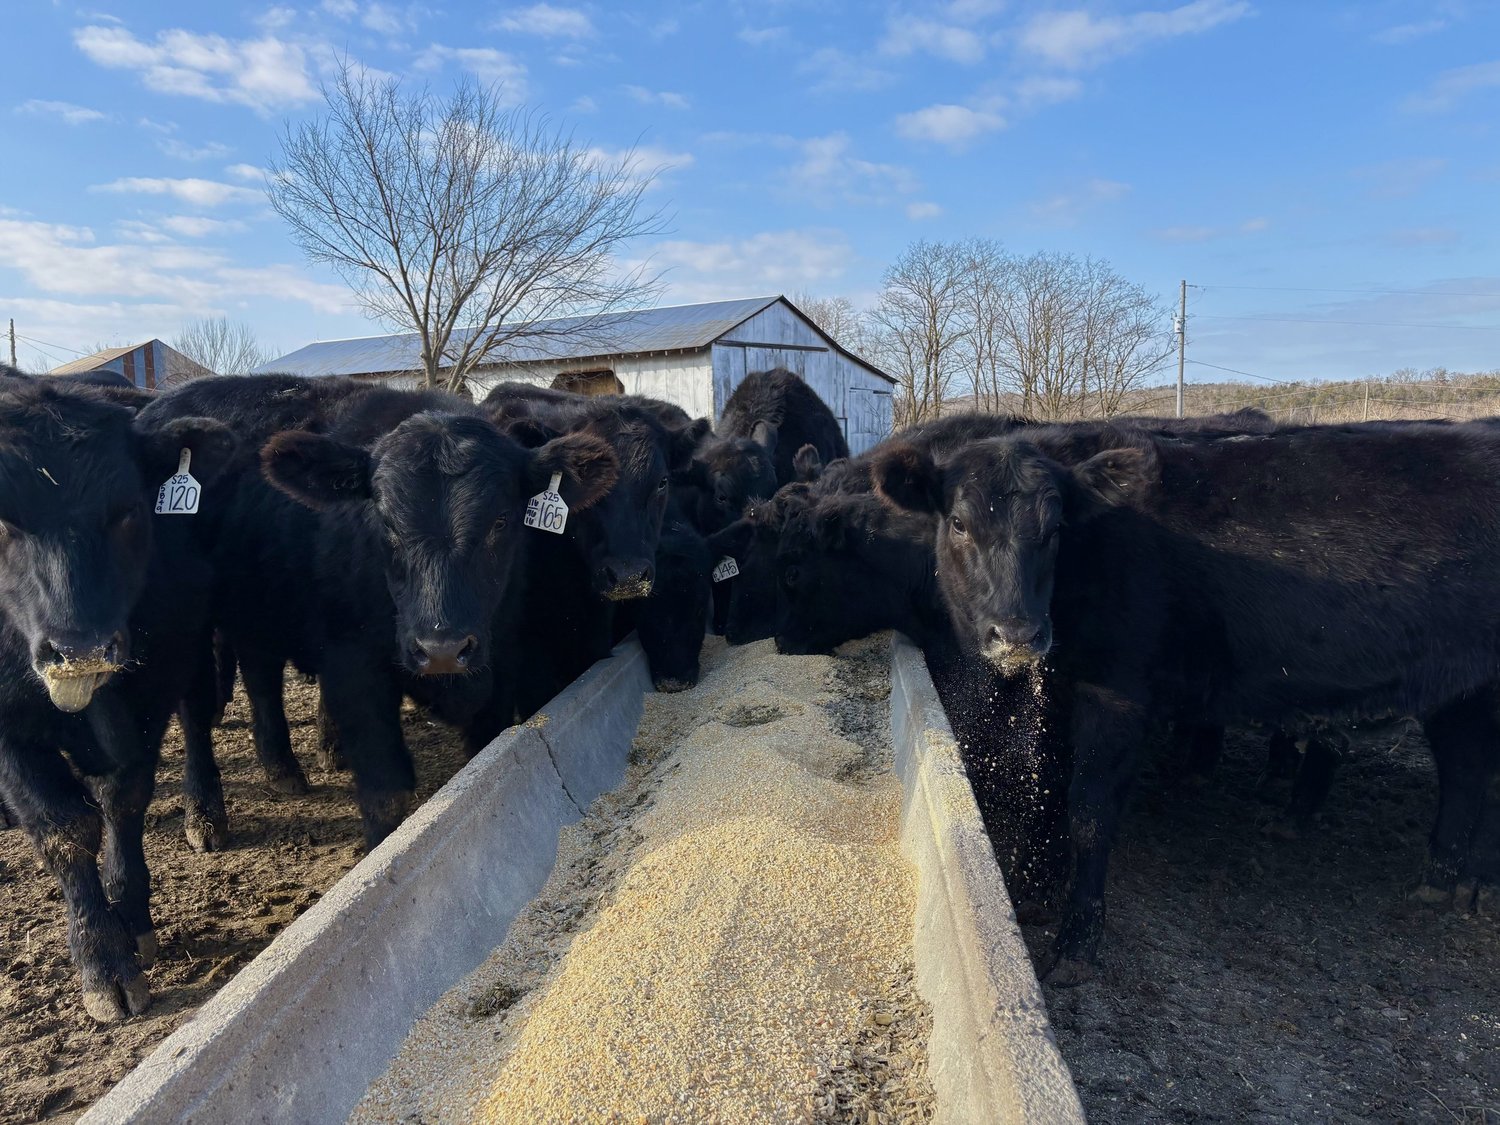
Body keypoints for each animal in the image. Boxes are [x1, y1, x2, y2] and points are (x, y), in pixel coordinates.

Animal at [0, 378, 234, 1020]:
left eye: (129, 508)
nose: (80, 646)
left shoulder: (153, 684)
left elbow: (122, 801)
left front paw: (129, 916)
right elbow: (61, 825)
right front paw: (101, 959)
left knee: (197, 719)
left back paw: (204, 813)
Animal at [874, 420, 1500, 984]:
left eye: (1054, 529)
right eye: (959, 522)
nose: (1017, 633)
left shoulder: (1120, 688)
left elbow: (1090, 810)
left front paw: (1077, 944)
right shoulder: (1062, 683)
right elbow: (1048, 783)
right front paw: (1031, 891)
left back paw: (1471, 882)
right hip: (1463, 692)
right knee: (1468, 770)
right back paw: (1444, 879)